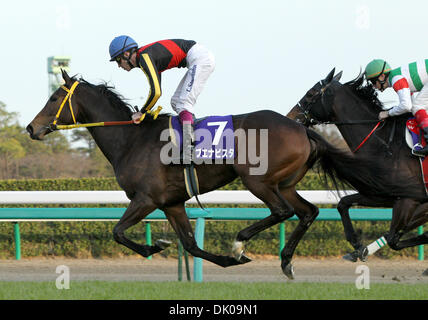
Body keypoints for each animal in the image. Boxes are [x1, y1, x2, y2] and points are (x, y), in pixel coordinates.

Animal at [27, 69, 412, 278]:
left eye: (53, 98)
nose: (32, 128)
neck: (131, 139)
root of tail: (303, 129)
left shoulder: (146, 198)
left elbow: (118, 232)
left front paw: (155, 247)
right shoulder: (171, 203)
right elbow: (191, 245)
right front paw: (219, 260)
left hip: (257, 179)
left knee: (283, 211)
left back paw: (241, 242)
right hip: (285, 182)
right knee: (308, 211)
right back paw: (285, 262)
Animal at [288, 69, 428, 262]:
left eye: (310, 93)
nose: (290, 116)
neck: (383, 143)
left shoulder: (409, 199)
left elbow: (394, 238)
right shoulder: (382, 194)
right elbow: (343, 203)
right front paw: (358, 246)